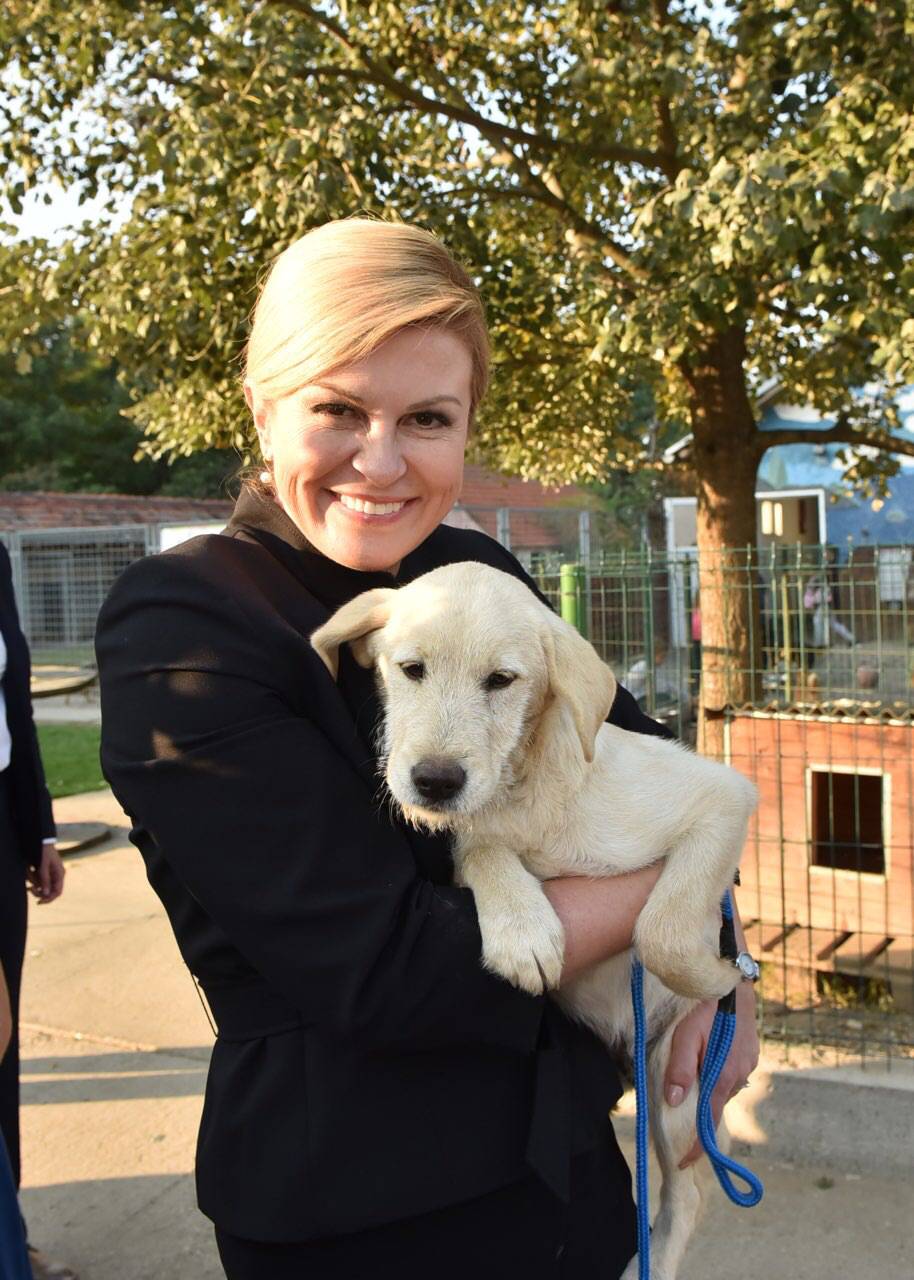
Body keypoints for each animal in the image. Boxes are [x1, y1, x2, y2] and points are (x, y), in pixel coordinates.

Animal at [311, 563, 752, 1280]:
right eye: (411, 669)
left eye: (501, 680)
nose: (435, 781)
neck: (527, 792)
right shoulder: (472, 838)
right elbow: (483, 848)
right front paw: (522, 932)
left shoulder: (723, 797)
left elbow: (660, 931)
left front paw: (719, 978)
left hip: (676, 1089)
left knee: (687, 1193)